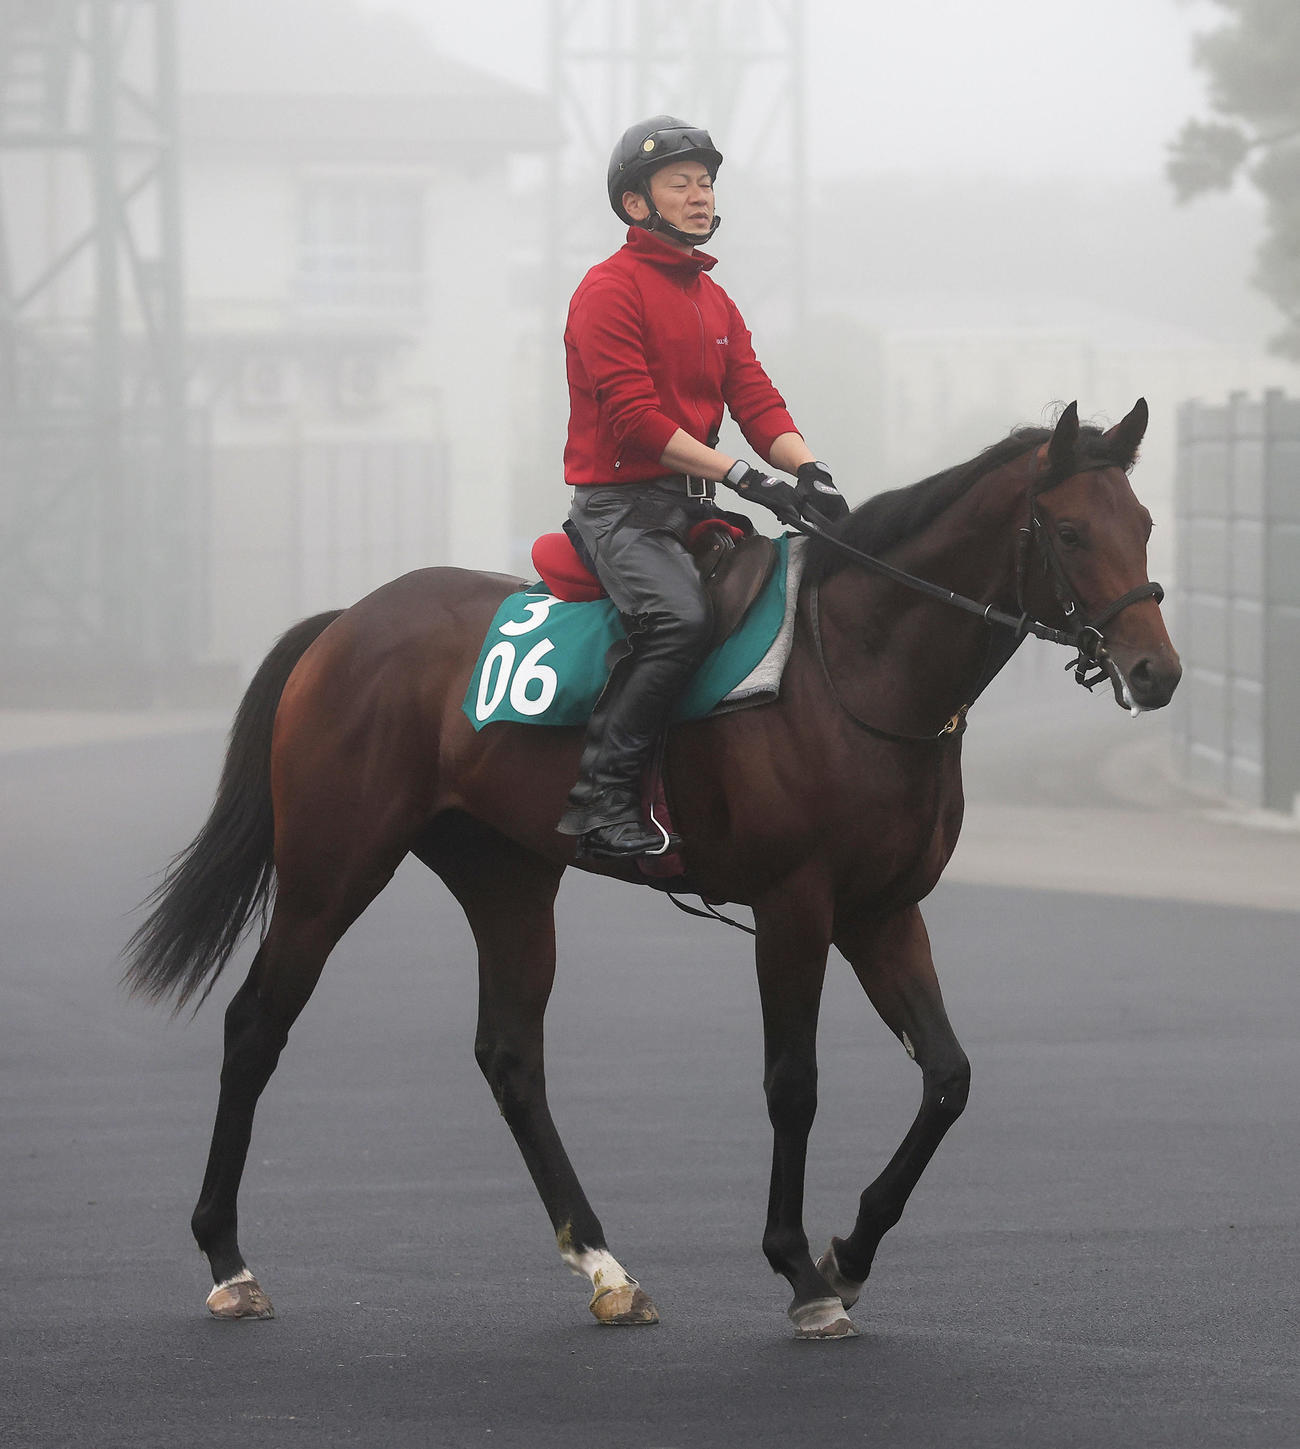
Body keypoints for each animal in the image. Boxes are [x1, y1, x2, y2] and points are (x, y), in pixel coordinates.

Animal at [124, 398, 1181, 1339]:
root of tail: (349, 620)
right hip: (332, 865)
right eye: (1072, 529)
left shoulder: (883, 912)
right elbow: (793, 1082)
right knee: (256, 1024)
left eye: (1143, 524)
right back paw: (229, 1261)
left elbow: (949, 1077)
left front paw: (849, 1251)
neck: (855, 663)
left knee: (511, 1055)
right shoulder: (796, 906)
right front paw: (802, 1273)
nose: (1157, 671)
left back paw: (605, 1266)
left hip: (507, 875)